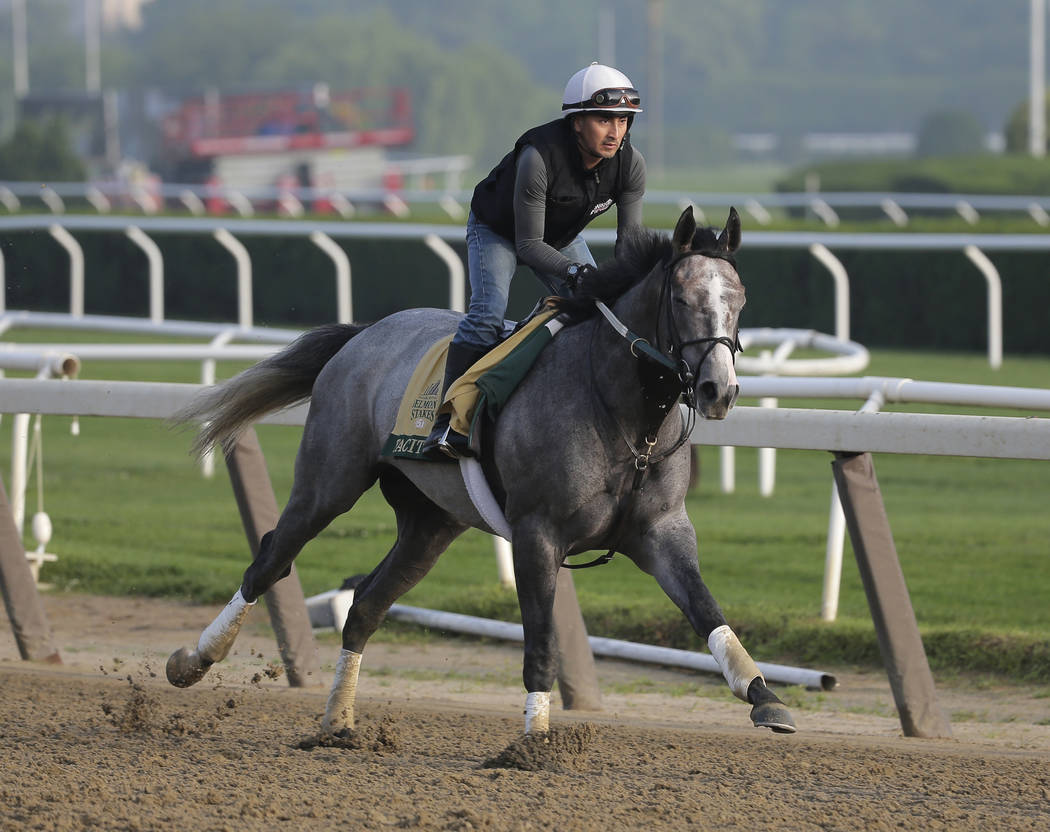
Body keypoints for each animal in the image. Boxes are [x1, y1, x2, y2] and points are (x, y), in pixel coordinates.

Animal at [168, 205, 793, 735]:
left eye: (739, 299)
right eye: (683, 299)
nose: (718, 390)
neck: (624, 414)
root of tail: (364, 333)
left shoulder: (662, 530)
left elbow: (706, 609)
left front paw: (764, 696)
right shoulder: (538, 532)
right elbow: (540, 637)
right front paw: (534, 737)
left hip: (430, 523)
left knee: (365, 604)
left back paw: (337, 722)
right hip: (330, 481)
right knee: (271, 559)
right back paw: (193, 661)